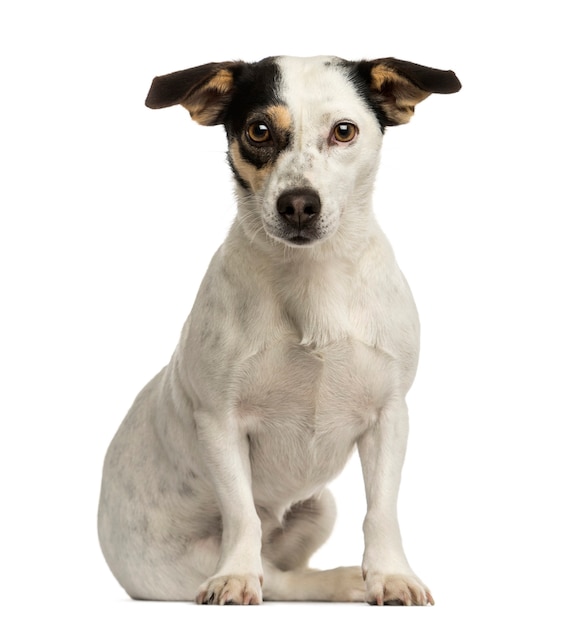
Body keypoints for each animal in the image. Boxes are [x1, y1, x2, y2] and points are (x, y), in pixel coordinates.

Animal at [97, 56, 462, 604]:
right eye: (259, 130)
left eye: (344, 131)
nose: (298, 204)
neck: (312, 281)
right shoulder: (221, 423)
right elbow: (242, 516)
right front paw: (235, 578)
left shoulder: (389, 416)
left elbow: (380, 512)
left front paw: (391, 576)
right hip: (182, 565)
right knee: (278, 578)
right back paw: (332, 581)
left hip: (320, 506)